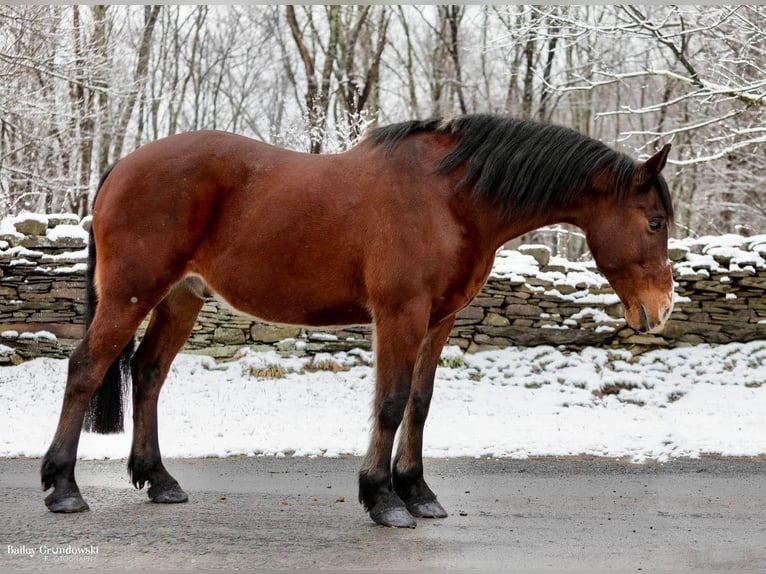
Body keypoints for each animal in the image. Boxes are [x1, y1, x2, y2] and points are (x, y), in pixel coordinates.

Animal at [43, 115, 680, 528]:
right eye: (653, 222)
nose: (661, 310)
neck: (449, 199)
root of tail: (121, 167)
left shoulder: (439, 320)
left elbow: (420, 404)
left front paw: (418, 492)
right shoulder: (401, 314)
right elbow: (391, 403)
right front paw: (383, 499)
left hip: (181, 297)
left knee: (149, 373)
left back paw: (159, 480)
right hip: (131, 294)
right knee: (85, 368)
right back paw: (63, 487)